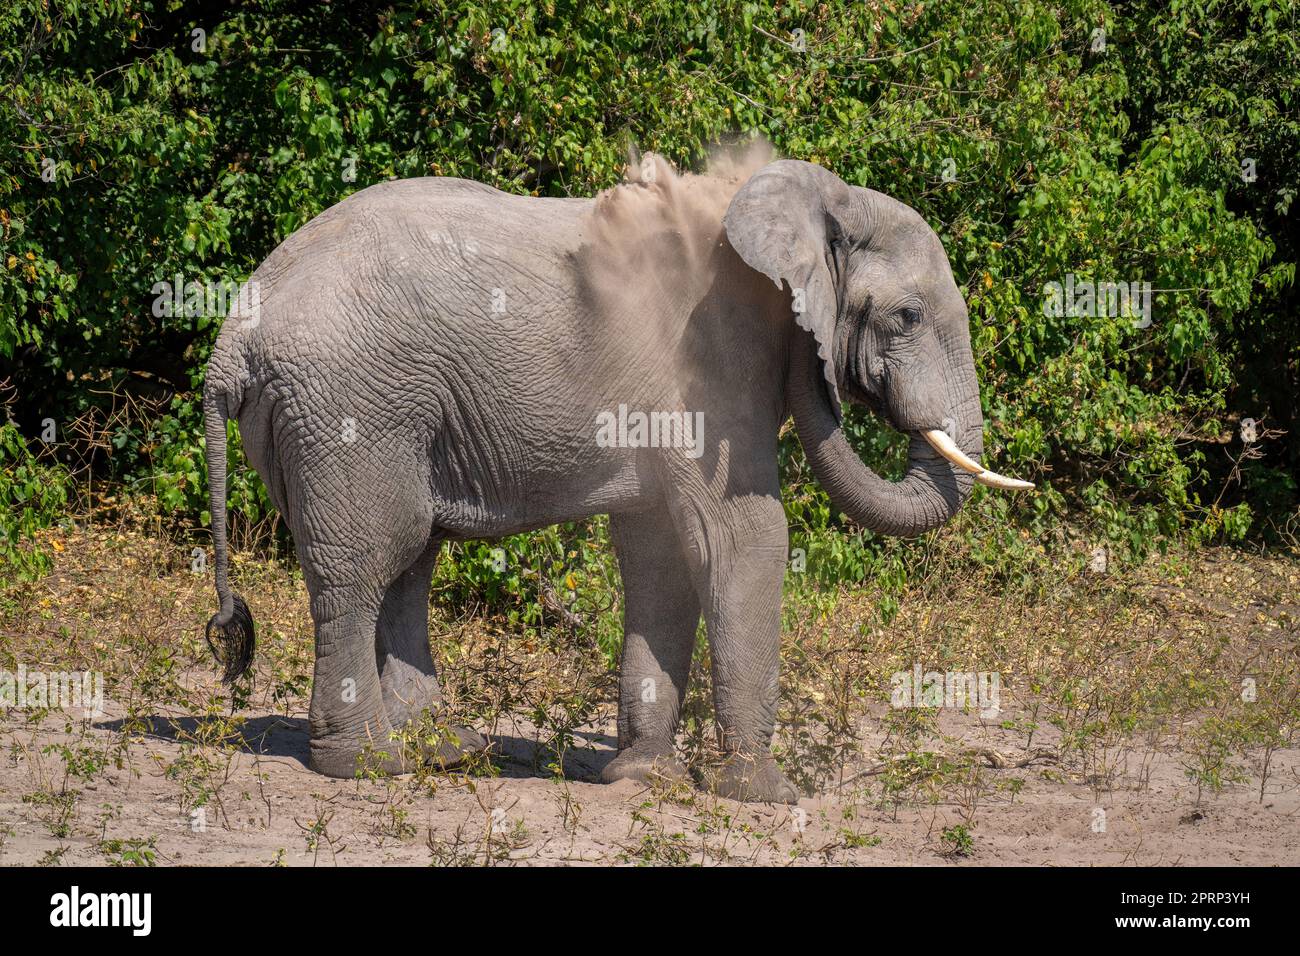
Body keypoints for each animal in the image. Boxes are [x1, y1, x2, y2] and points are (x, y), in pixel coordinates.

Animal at [202, 154, 1031, 803]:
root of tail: (233, 337)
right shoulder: (707, 369)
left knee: (409, 561)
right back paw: (370, 766)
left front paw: (642, 777)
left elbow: (661, 557)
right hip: (348, 410)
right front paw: (766, 794)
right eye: (907, 316)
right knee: (369, 564)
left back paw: (449, 750)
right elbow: (744, 537)